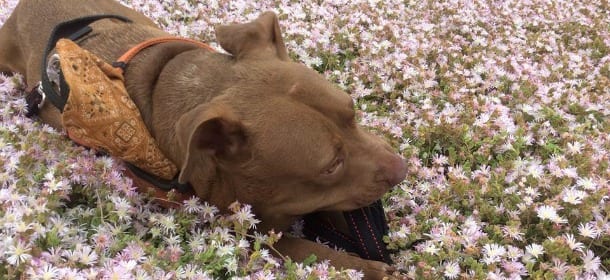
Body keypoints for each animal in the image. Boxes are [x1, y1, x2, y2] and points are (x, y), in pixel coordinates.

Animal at [2, 0, 406, 276]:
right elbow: (293, 246)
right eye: (331, 166)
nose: (402, 168)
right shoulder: (228, 225)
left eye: (353, 112)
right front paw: (363, 267)